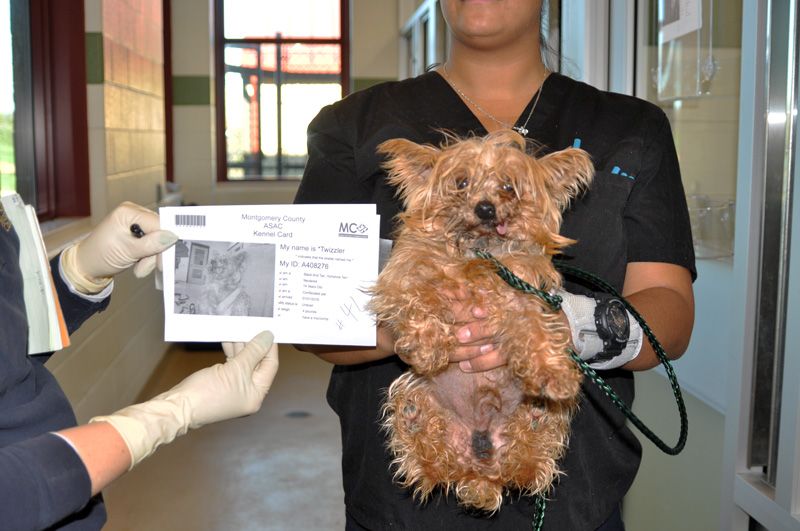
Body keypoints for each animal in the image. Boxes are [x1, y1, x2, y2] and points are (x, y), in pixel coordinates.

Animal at [372, 130, 592, 516]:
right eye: (461, 182)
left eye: (508, 187)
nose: (485, 208)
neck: (477, 255)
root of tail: (480, 473)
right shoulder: (403, 277)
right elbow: (419, 294)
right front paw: (428, 346)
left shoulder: (524, 298)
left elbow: (537, 333)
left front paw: (553, 372)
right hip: (415, 395)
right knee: (431, 464)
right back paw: (415, 421)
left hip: (542, 425)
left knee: (528, 466)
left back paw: (535, 419)